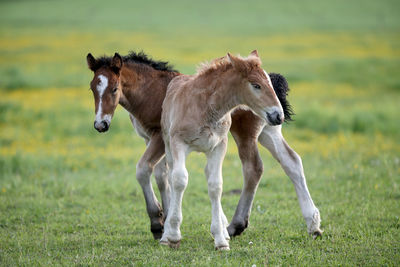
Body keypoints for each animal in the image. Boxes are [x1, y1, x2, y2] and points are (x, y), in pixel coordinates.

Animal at [85, 51, 322, 244]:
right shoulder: (153, 140)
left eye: (114, 88)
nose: (100, 125)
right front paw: (167, 220)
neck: (152, 91)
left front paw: (157, 223)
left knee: (253, 168)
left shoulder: (159, 138)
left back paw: (235, 226)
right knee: (292, 161)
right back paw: (313, 224)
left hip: (245, 133)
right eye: (92, 88)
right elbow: (163, 176)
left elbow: (144, 170)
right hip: (269, 130)